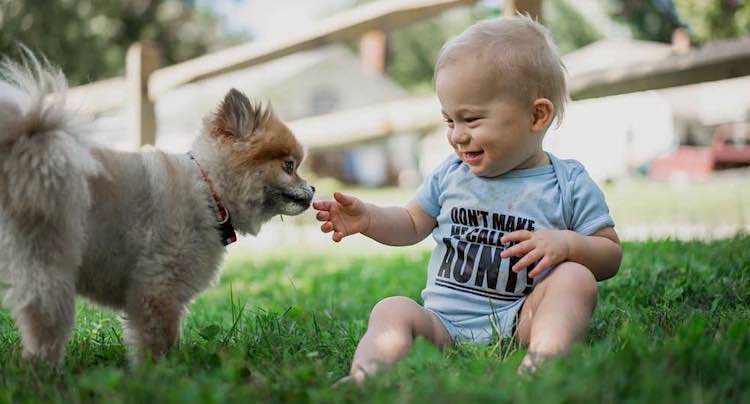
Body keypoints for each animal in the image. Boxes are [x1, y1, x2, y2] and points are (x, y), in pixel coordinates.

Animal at [0, 53, 316, 366]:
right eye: (289, 166)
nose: (313, 188)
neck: (210, 191)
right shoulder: (159, 286)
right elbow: (159, 338)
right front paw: (162, 371)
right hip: (49, 263)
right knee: (46, 322)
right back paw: (45, 368)